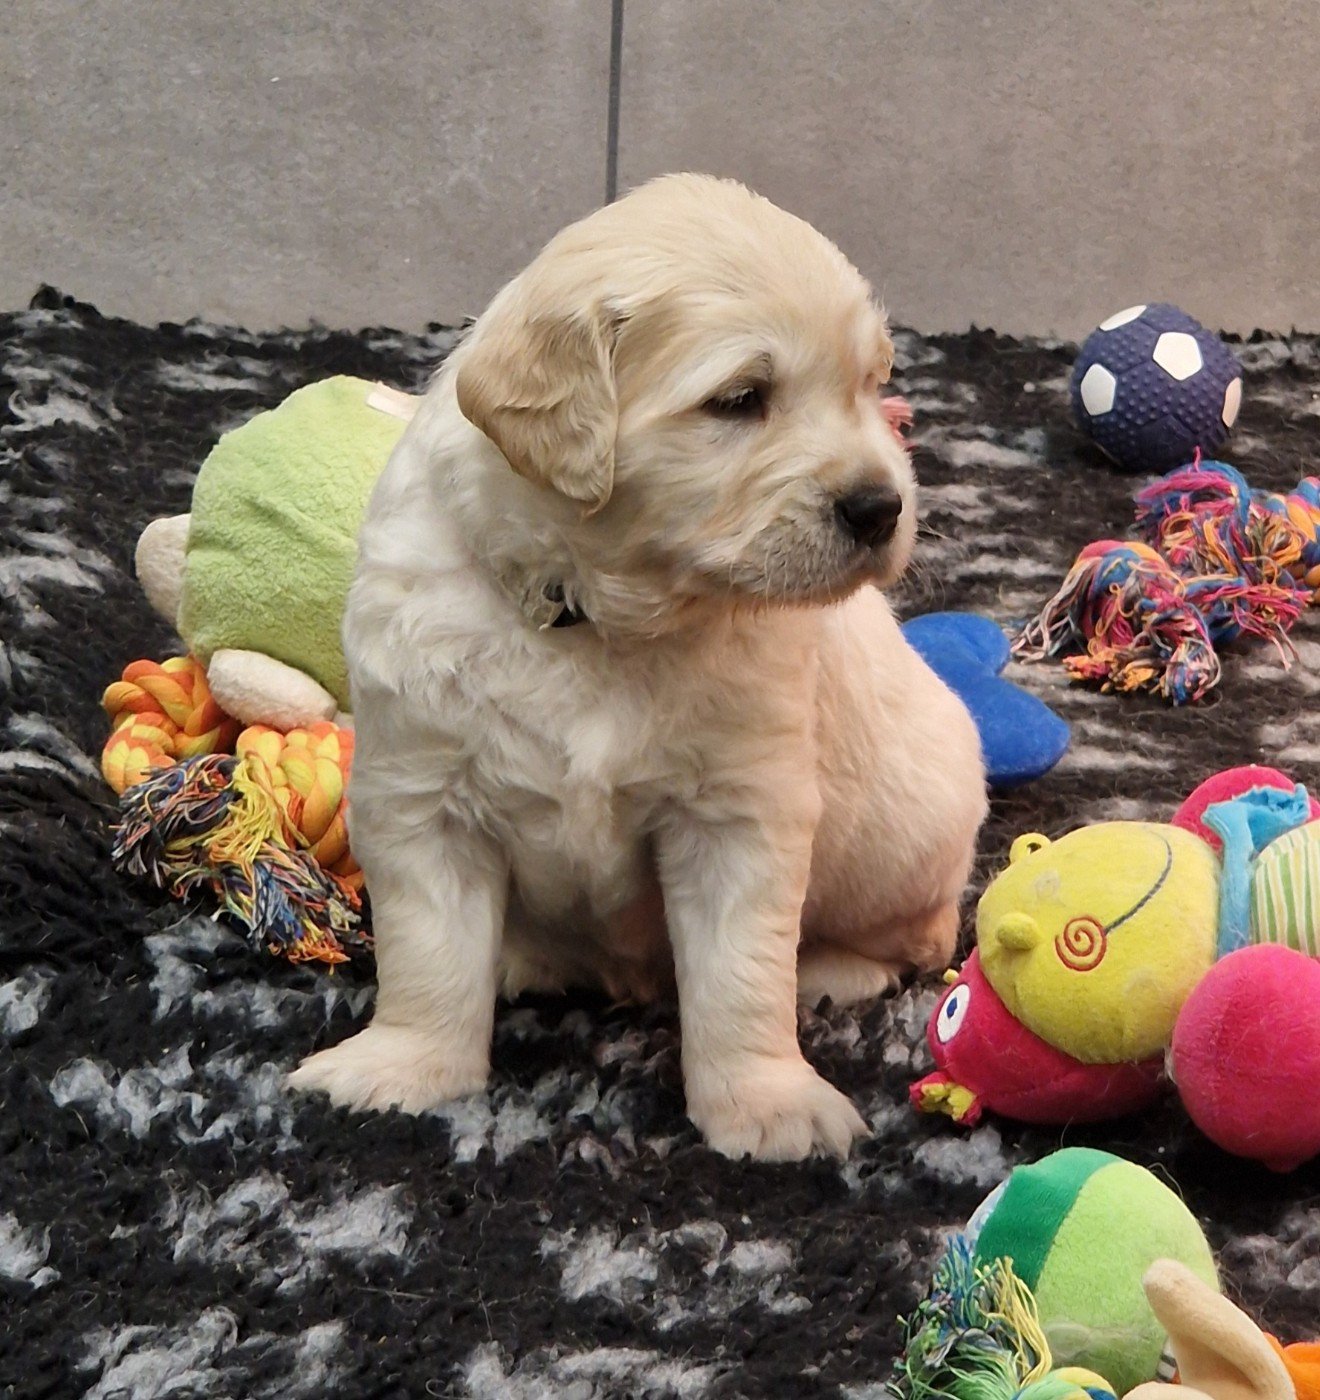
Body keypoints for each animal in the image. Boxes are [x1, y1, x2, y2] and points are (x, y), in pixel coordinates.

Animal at [288, 173, 987, 1160]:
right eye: (740, 399)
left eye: (868, 388)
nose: (880, 507)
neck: (591, 616)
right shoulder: (421, 795)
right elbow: (428, 952)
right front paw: (402, 1068)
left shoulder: (739, 811)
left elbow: (740, 974)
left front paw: (768, 1103)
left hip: (911, 826)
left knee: (917, 935)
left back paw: (832, 969)